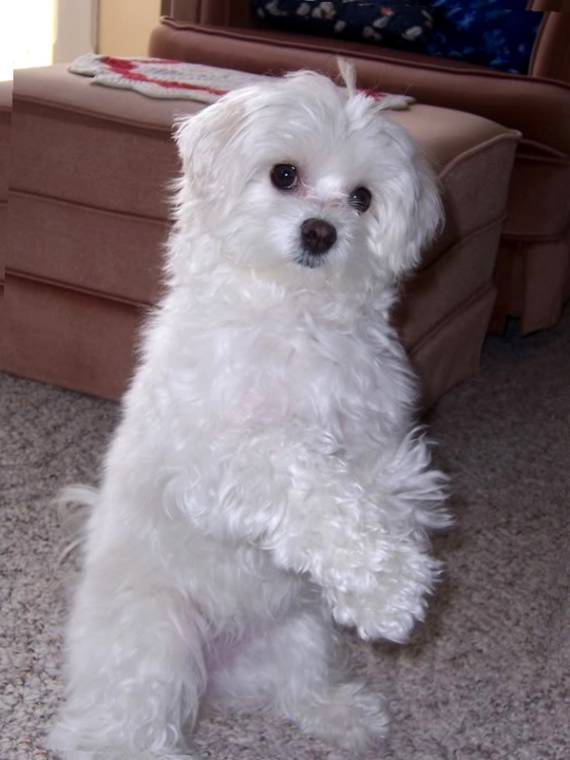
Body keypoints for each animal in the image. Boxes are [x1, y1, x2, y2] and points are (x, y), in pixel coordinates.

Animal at [48, 67, 448, 760]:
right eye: (284, 174)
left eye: (363, 198)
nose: (320, 231)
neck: (294, 314)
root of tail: (222, 666)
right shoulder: (212, 458)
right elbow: (303, 477)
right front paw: (387, 587)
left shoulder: (379, 438)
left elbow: (391, 489)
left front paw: (388, 573)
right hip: (157, 638)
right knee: (116, 725)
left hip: (303, 630)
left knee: (296, 689)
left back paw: (344, 717)